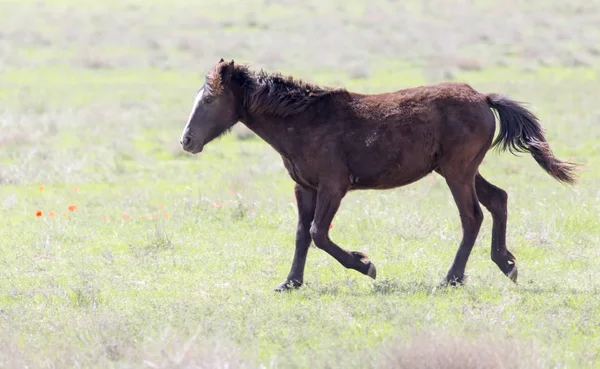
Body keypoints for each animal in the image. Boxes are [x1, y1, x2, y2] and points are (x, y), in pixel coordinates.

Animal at [180, 58, 580, 290]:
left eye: (210, 99)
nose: (186, 141)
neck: (304, 122)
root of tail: (483, 98)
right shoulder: (304, 188)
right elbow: (302, 235)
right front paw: (290, 283)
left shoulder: (334, 186)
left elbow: (319, 233)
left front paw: (365, 265)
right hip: (461, 169)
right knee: (498, 200)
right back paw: (506, 264)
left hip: (458, 171)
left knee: (472, 217)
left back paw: (451, 279)